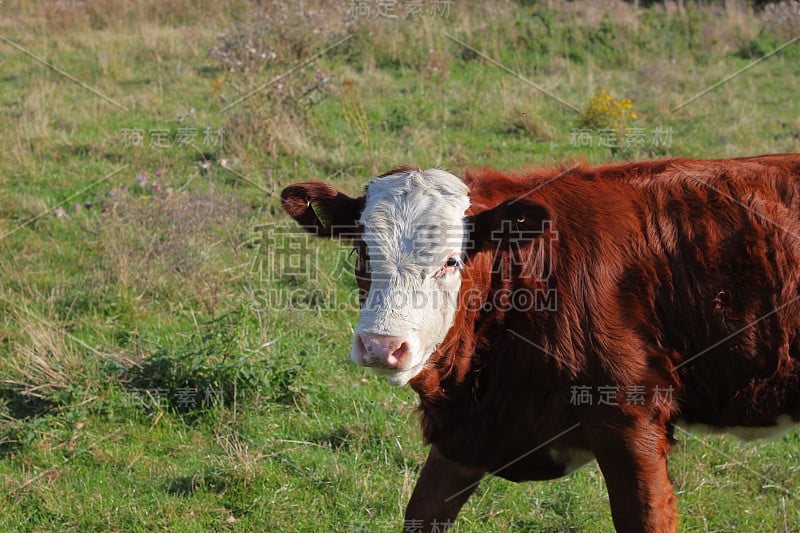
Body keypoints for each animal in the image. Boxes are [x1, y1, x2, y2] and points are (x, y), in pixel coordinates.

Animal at [282, 153, 800, 528]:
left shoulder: (631, 420)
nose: (381, 345)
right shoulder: (467, 433)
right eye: (361, 252)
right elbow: (422, 510)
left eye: (451, 261)